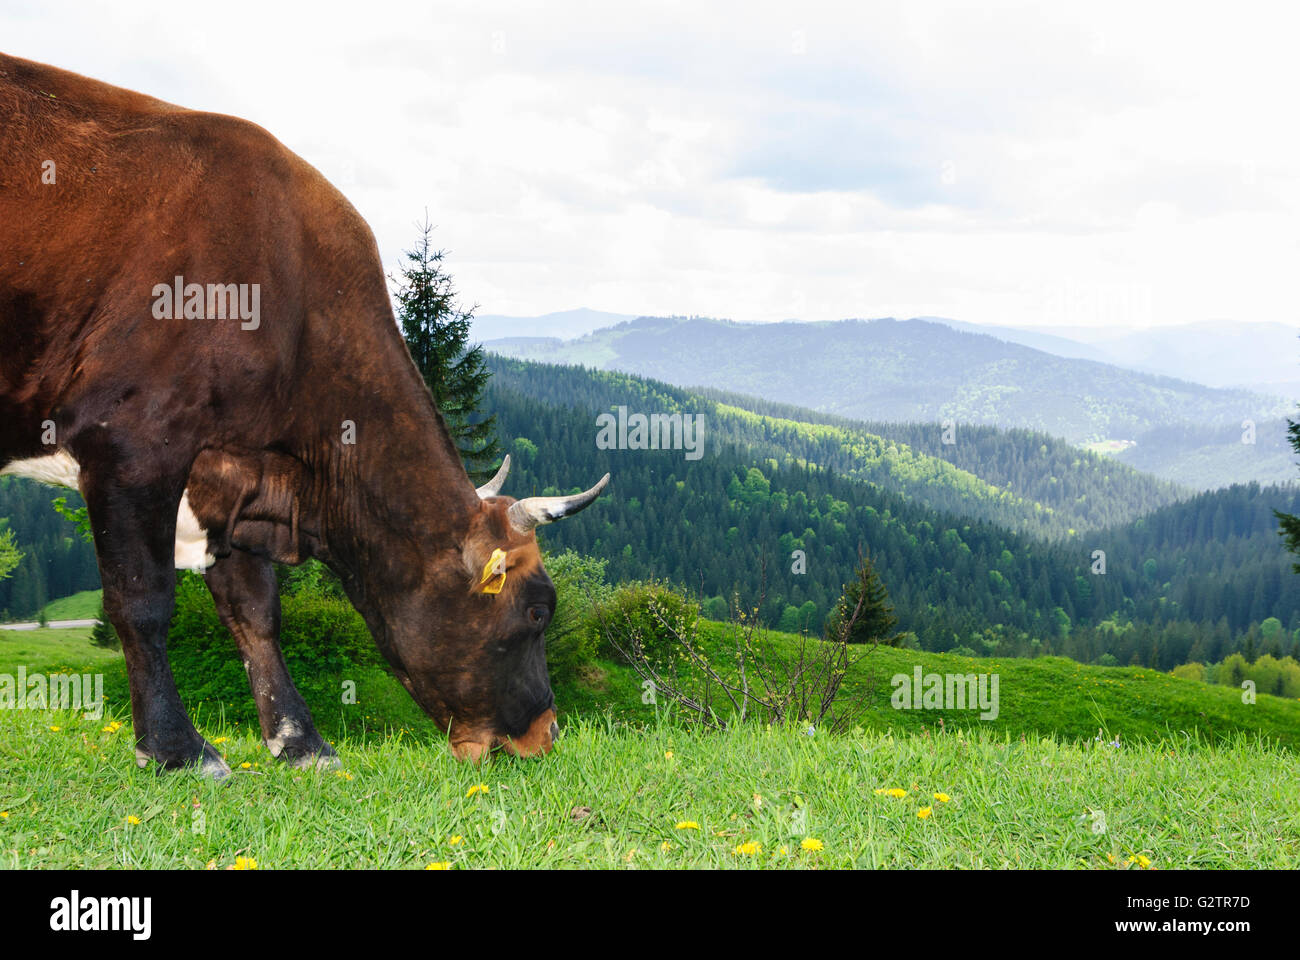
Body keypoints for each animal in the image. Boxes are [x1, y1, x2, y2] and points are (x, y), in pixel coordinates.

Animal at [0, 52, 608, 775]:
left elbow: (255, 610)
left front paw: (300, 741)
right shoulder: (130, 441)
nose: (547, 733)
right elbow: (140, 599)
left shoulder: (227, 476)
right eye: (538, 611)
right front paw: (177, 749)